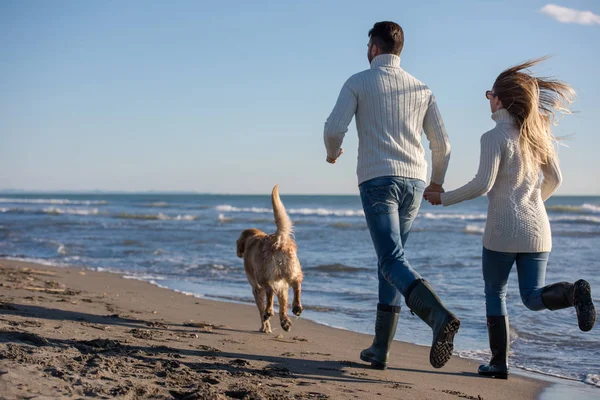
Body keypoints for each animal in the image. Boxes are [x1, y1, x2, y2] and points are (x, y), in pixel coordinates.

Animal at [237, 186, 304, 332]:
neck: (253, 237)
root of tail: (279, 241)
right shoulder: (283, 286)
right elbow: (283, 305)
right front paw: (284, 322)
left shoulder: (256, 288)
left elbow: (261, 308)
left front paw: (265, 326)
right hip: (292, 270)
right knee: (296, 284)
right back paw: (296, 307)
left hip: (263, 276)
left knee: (269, 291)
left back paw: (269, 311)